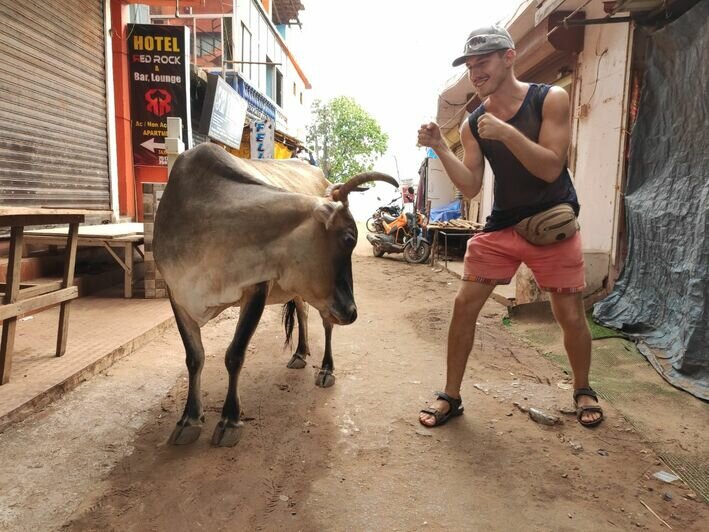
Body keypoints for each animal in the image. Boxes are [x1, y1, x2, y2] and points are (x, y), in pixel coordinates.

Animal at [154, 143, 396, 446]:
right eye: (348, 238)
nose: (352, 312)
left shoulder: (257, 288)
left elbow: (234, 355)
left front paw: (229, 420)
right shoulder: (177, 294)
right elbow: (194, 357)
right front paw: (189, 419)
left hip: (323, 301)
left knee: (326, 324)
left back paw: (326, 369)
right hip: (301, 290)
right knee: (303, 312)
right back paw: (300, 353)